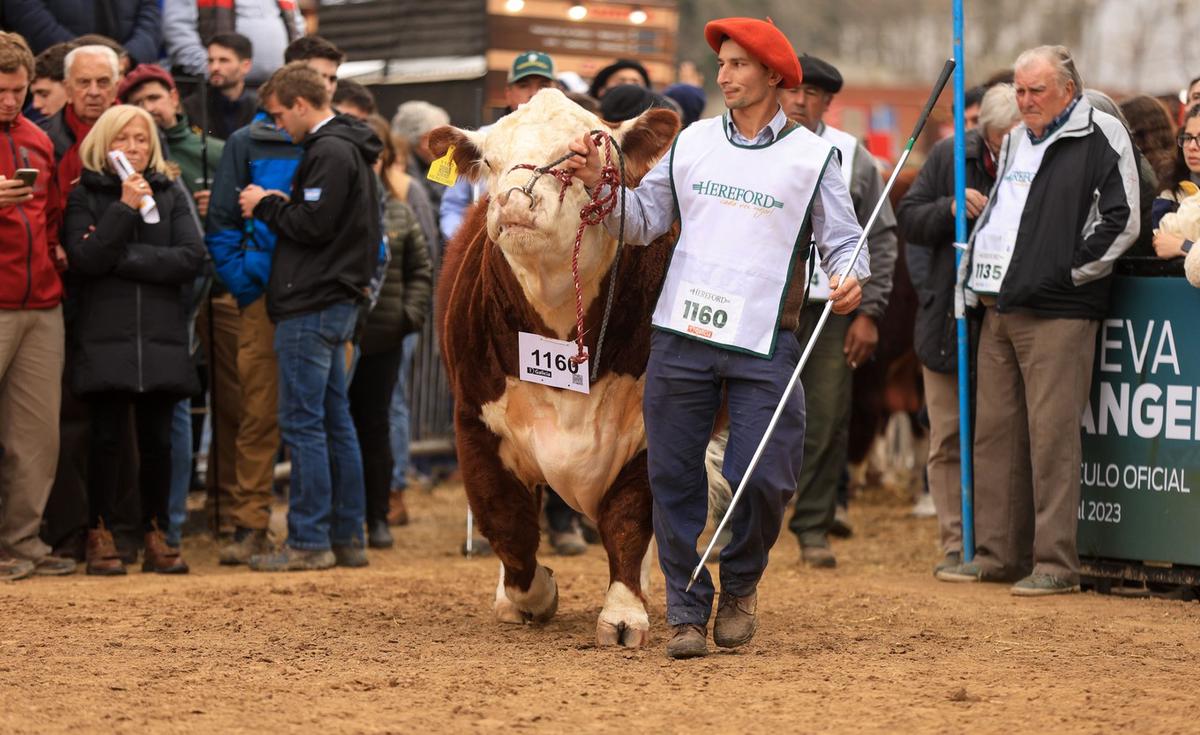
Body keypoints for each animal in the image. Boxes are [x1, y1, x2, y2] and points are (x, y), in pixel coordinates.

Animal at [432, 88, 681, 643]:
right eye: (490, 161)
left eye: (574, 157)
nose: (513, 200)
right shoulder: (473, 422)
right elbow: (507, 521)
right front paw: (531, 594)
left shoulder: (649, 427)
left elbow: (629, 519)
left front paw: (624, 612)